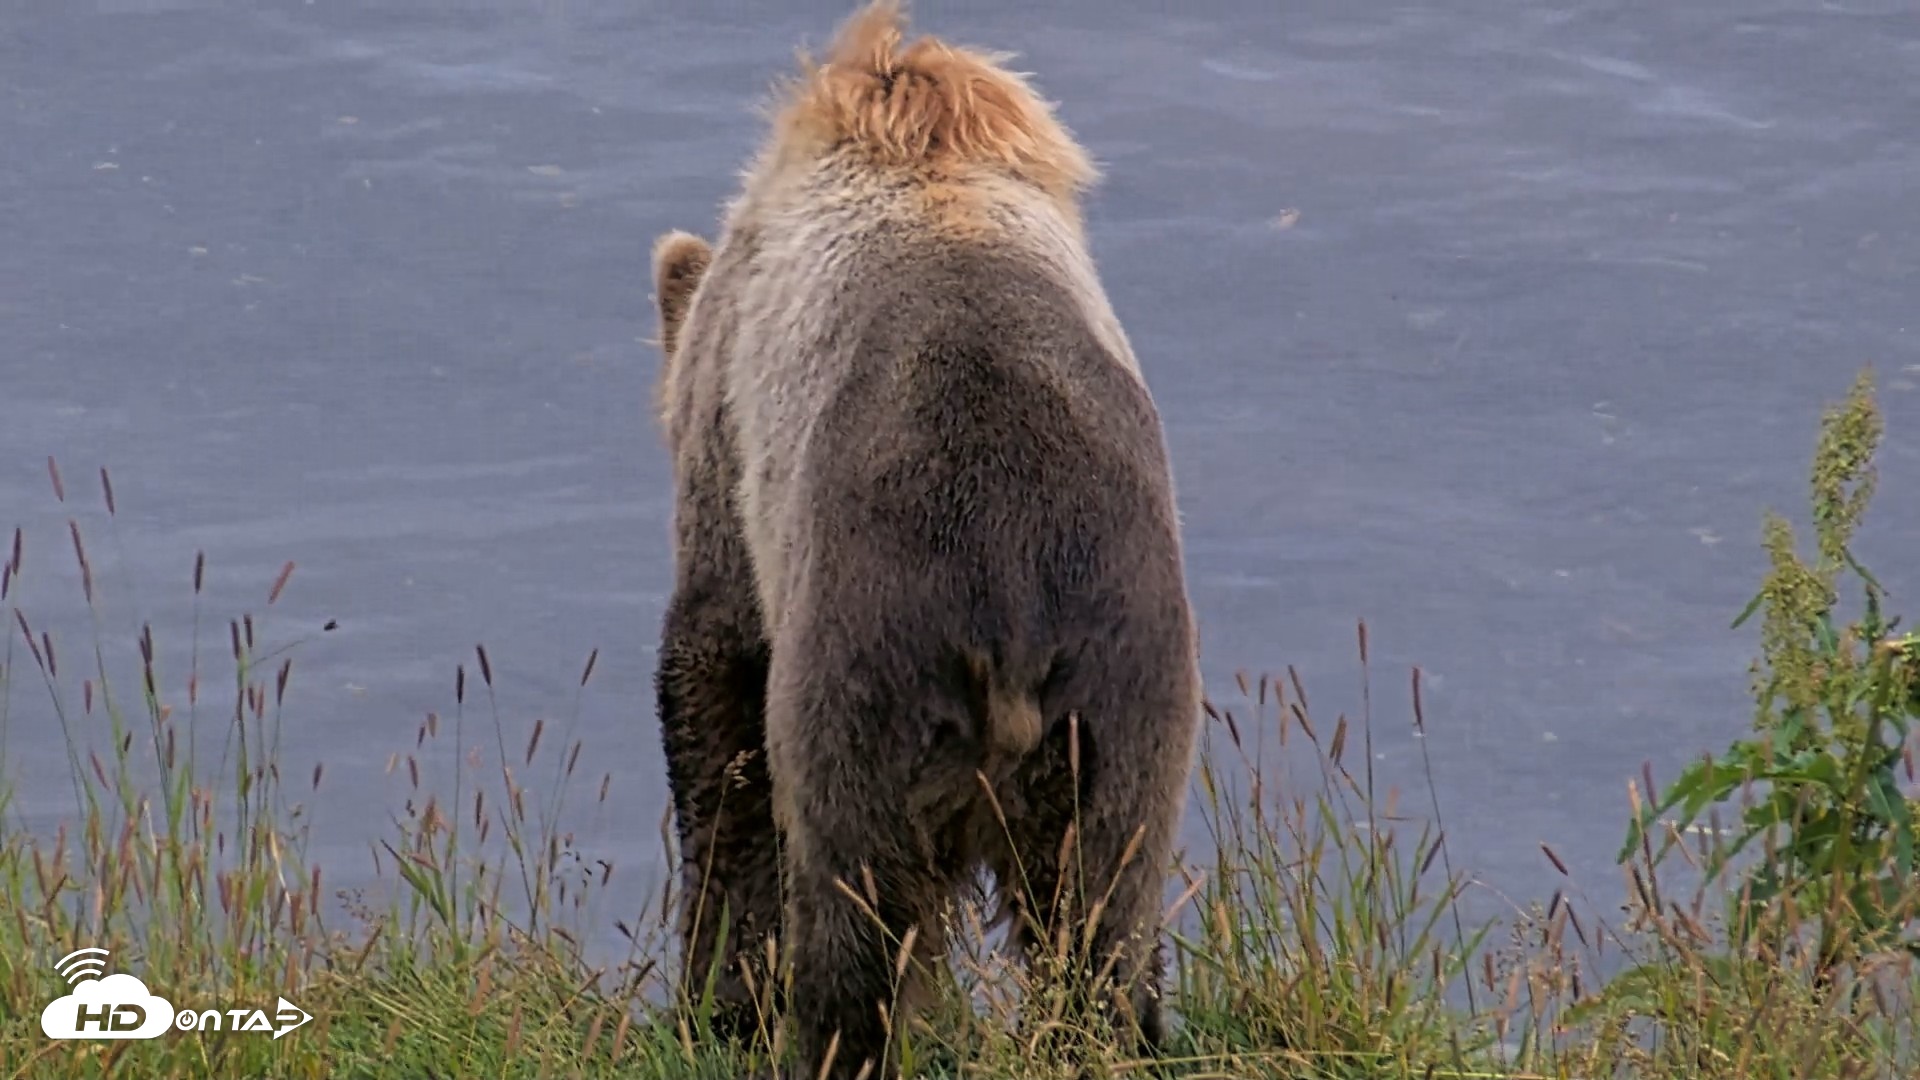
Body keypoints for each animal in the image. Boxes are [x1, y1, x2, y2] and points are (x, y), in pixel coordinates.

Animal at [647, 2, 1203, 1076]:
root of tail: (1010, 597)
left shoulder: (731, 435)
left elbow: (714, 686)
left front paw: (713, 1001)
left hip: (869, 664)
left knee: (851, 907)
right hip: (1122, 690)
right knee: (1099, 922)